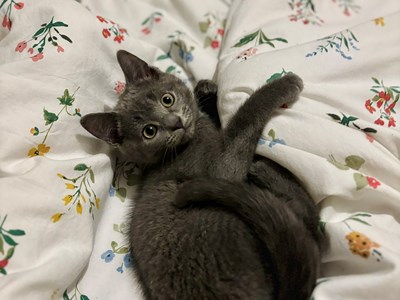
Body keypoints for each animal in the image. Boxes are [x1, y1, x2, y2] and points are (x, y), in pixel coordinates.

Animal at [81, 50, 322, 298]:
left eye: (167, 99)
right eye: (149, 131)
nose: (175, 123)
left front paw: (205, 90)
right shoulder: (220, 168)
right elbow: (244, 120)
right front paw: (284, 84)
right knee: (309, 225)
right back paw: (265, 171)